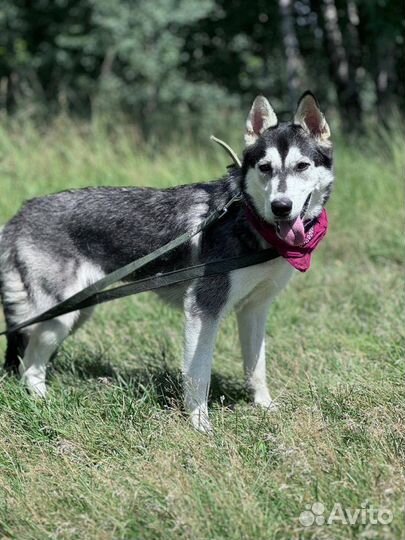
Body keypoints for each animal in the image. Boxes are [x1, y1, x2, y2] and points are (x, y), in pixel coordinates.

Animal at [0, 92, 332, 430]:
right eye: (265, 167)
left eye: (302, 166)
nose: (281, 206)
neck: (249, 220)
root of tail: (19, 214)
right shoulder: (202, 311)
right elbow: (199, 376)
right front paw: (200, 425)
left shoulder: (255, 311)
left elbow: (257, 368)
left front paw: (265, 408)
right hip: (59, 318)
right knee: (29, 368)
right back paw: (45, 405)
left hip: (78, 311)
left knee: (29, 364)